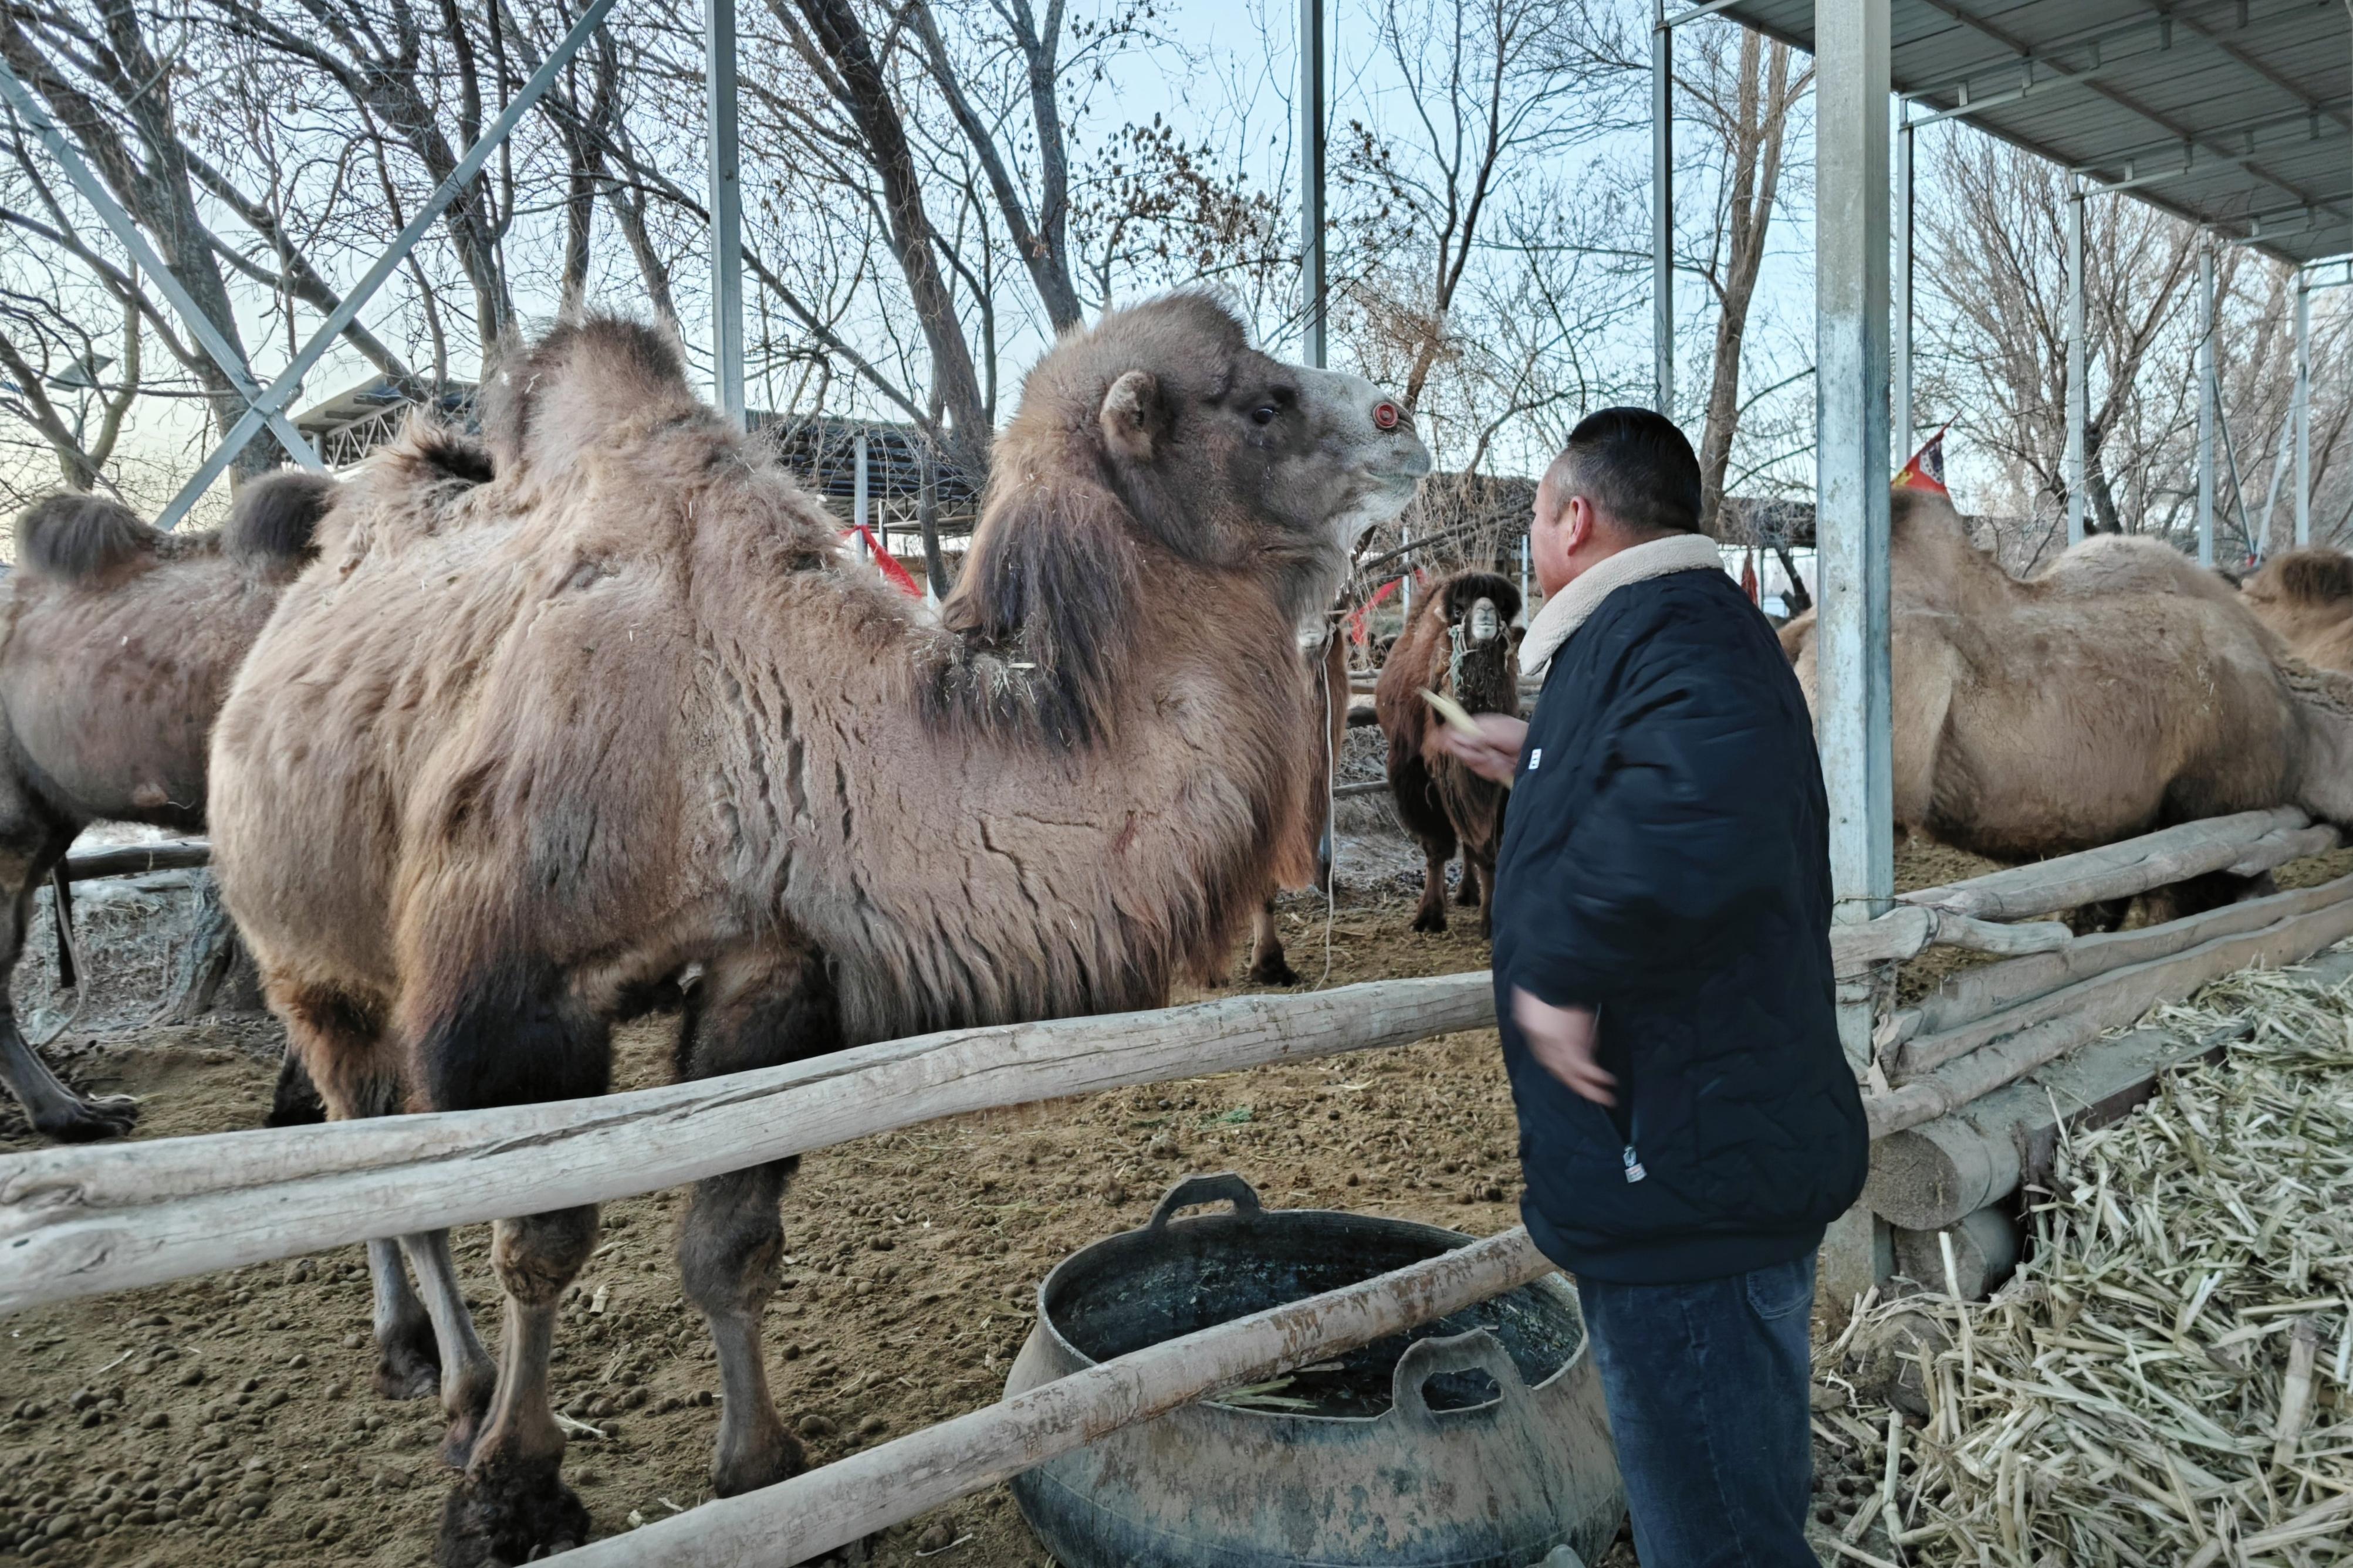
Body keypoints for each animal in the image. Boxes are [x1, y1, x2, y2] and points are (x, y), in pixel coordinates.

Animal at [216, 300, 1431, 1560]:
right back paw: (440, 1378)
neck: (743, 711)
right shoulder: (512, 994)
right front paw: (511, 1493)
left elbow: (731, 1247)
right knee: (378, 1146)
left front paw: (762, 1476)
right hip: (305, 952)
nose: (1404, 418)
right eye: (1262, 403)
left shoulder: (769, 968)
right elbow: (536, 1244)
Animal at [1364, 580, 1524, 940]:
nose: (1486, 613)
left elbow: (1488, 848)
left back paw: (1468, 893)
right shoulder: (1414, 775)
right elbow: (1437, 847)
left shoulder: (1495, 787)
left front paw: (1490, 918)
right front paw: (1429, 916)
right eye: (1460, 608)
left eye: (1503, 607)